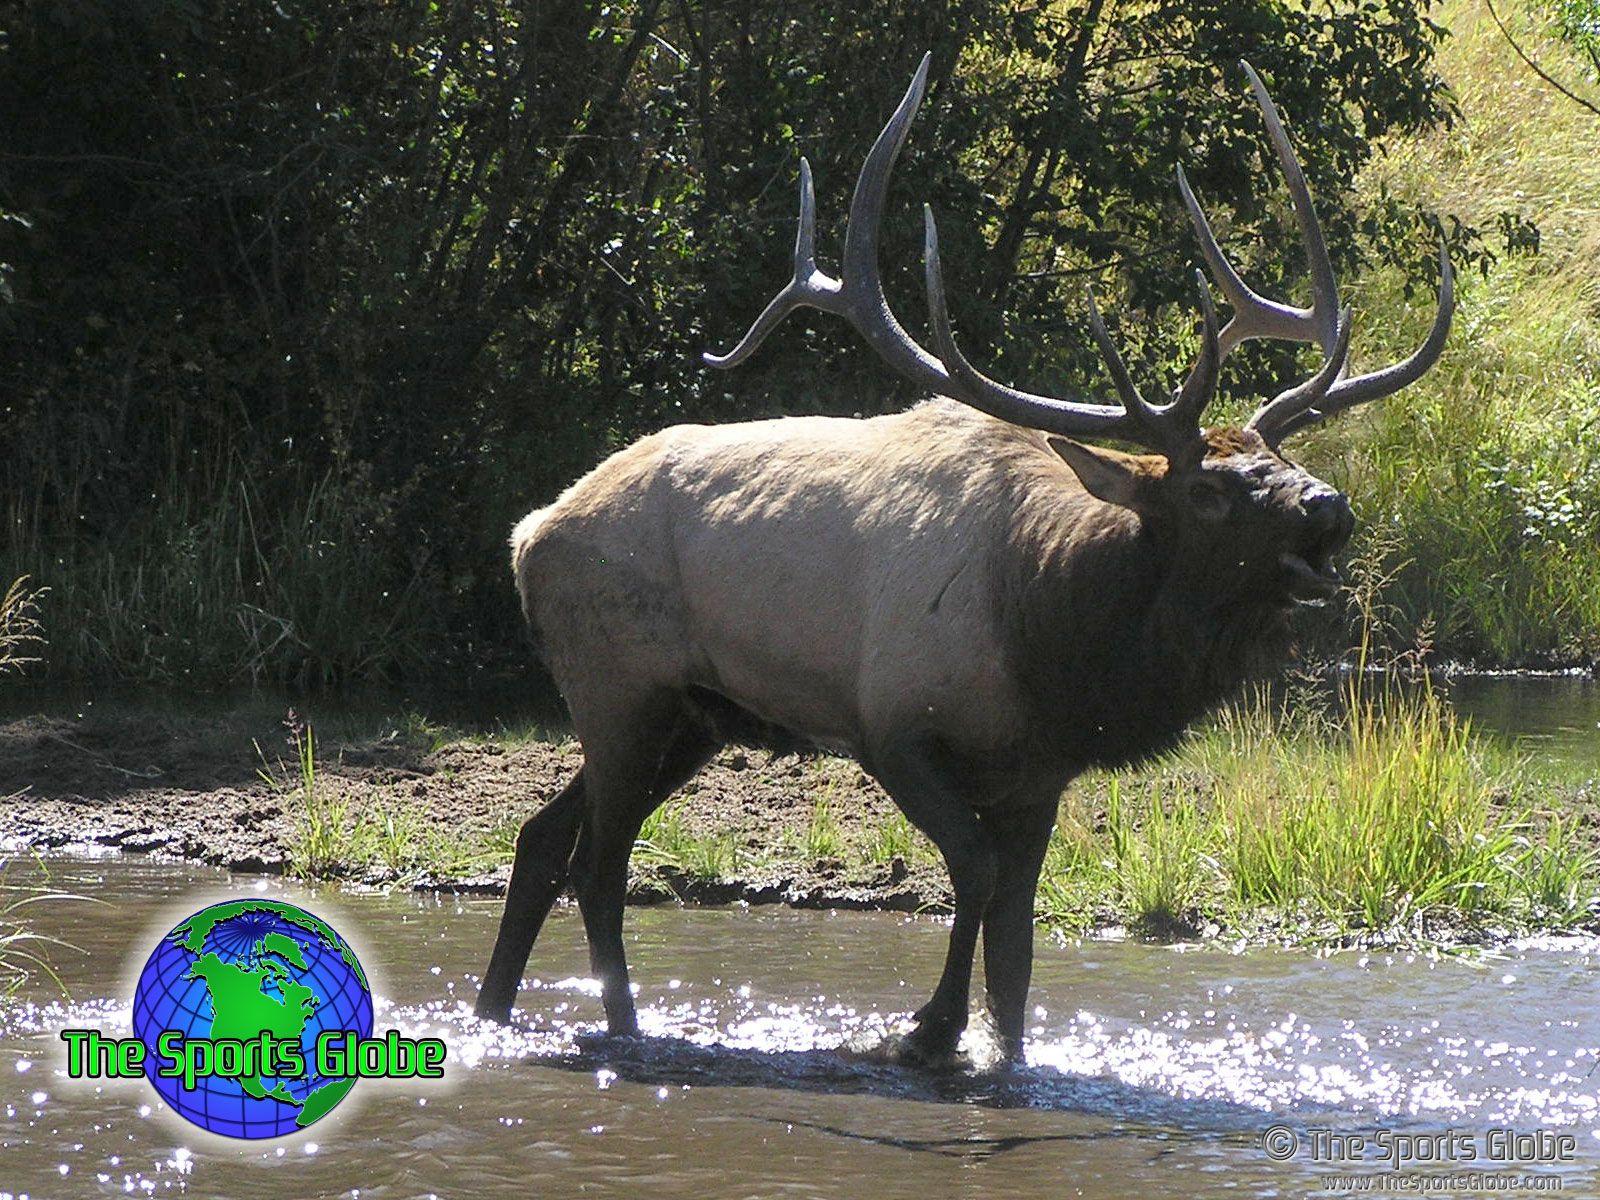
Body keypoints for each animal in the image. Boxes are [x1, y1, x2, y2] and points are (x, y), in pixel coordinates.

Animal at [473, 56, 1451, 1062]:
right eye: (1210, 489)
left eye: (1279, 457)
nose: (1329, 507)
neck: (1055, 643)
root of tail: (528, 535)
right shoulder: (892, 726)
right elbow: (975, 874)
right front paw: (926, 1030)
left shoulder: (1039, 771)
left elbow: (1017, 939)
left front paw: (1002, 1051)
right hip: (621, 690)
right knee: (597, 862)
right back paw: (625, 1029)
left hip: (689, 716)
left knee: (540, 838)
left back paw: (494, 1011)